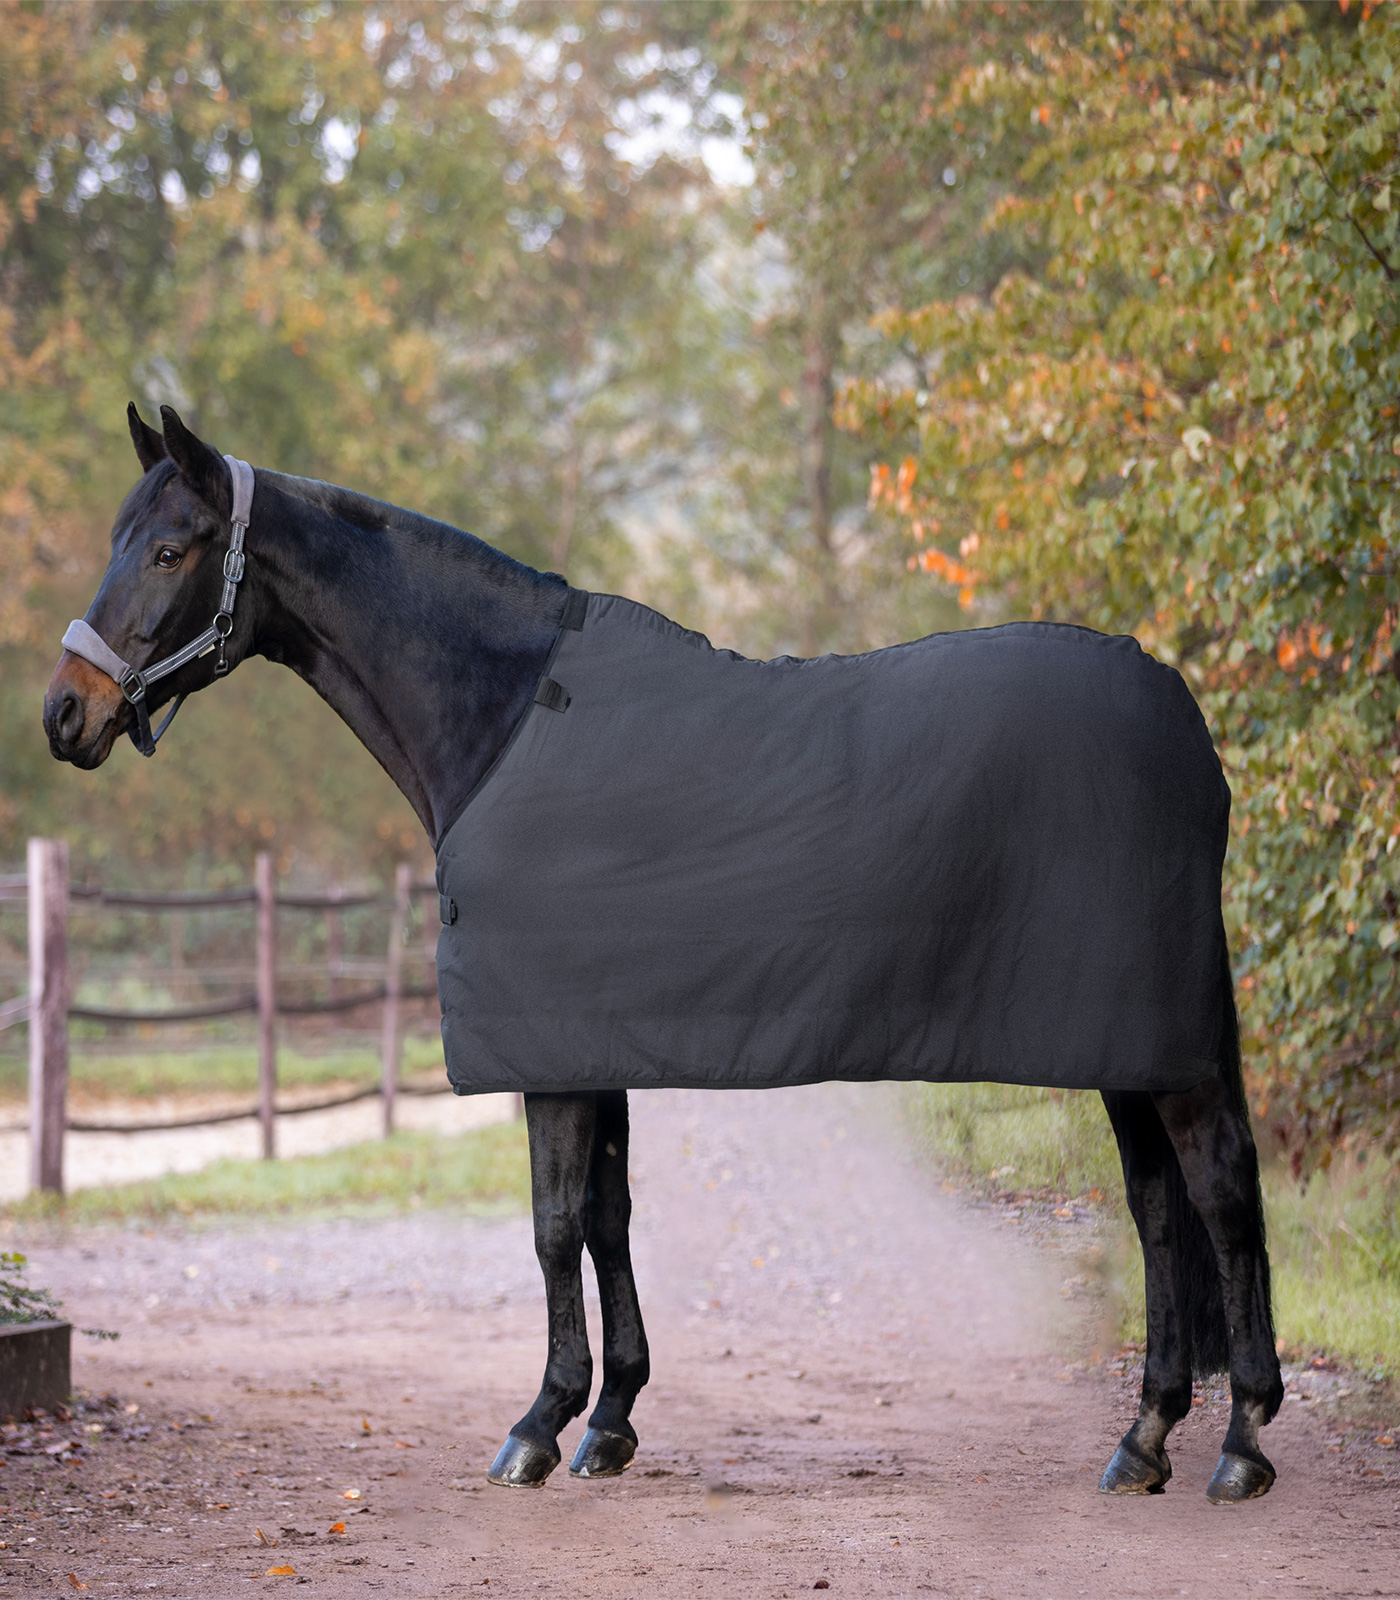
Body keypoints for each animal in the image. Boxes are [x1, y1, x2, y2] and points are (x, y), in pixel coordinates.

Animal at [46, 400, 1292, 1497]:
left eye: (170, 548)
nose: (66, 713)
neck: (504, 720)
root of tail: (1186, 724)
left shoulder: (546, 1050)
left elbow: (552, 1226)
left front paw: (537, 1425)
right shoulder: (588, 1042)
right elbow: (607, 1217)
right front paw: (608, 1420)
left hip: (1154, 1043)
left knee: (1221, 1193)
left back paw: (1237, 1445)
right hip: (1125, 1045)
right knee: (1156, 1208)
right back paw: (1143, 1439)